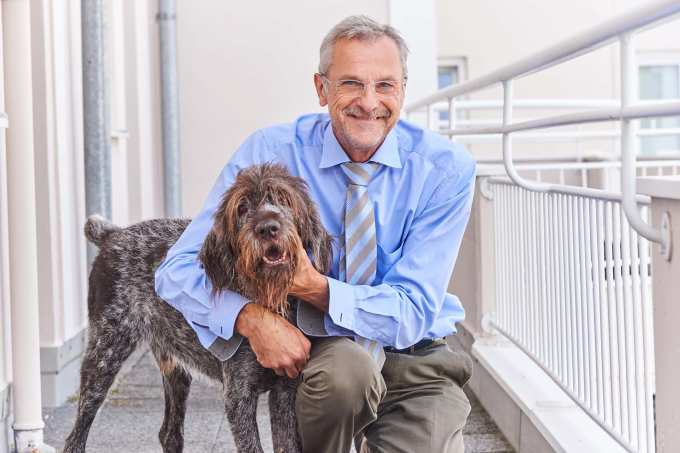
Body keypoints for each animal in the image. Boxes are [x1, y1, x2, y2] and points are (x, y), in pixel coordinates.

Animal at [62, 163, 334, 452]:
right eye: (242, 207)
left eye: (284, 199)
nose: (268, 228)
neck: (270, 300)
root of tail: (113, 234)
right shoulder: (238, 397)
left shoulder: (285, 391)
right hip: (104, 355)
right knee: (75, 436)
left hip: (175, 367)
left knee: (169, 433)